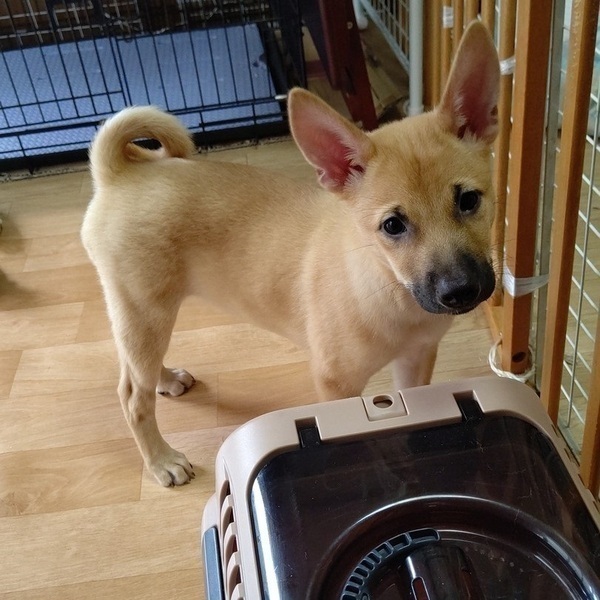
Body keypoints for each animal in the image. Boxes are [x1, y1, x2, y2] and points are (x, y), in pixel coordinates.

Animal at [81, 21, 499, 486]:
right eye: (393, 226)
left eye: (468, 201)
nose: (460, 292)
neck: (386, 284)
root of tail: (120, 173)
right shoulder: (336, 385)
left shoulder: (417, 361)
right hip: (145, 310)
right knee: (131, 396)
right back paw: (161, 460)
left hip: (140, 315)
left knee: (133, 369)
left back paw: (165, 379)